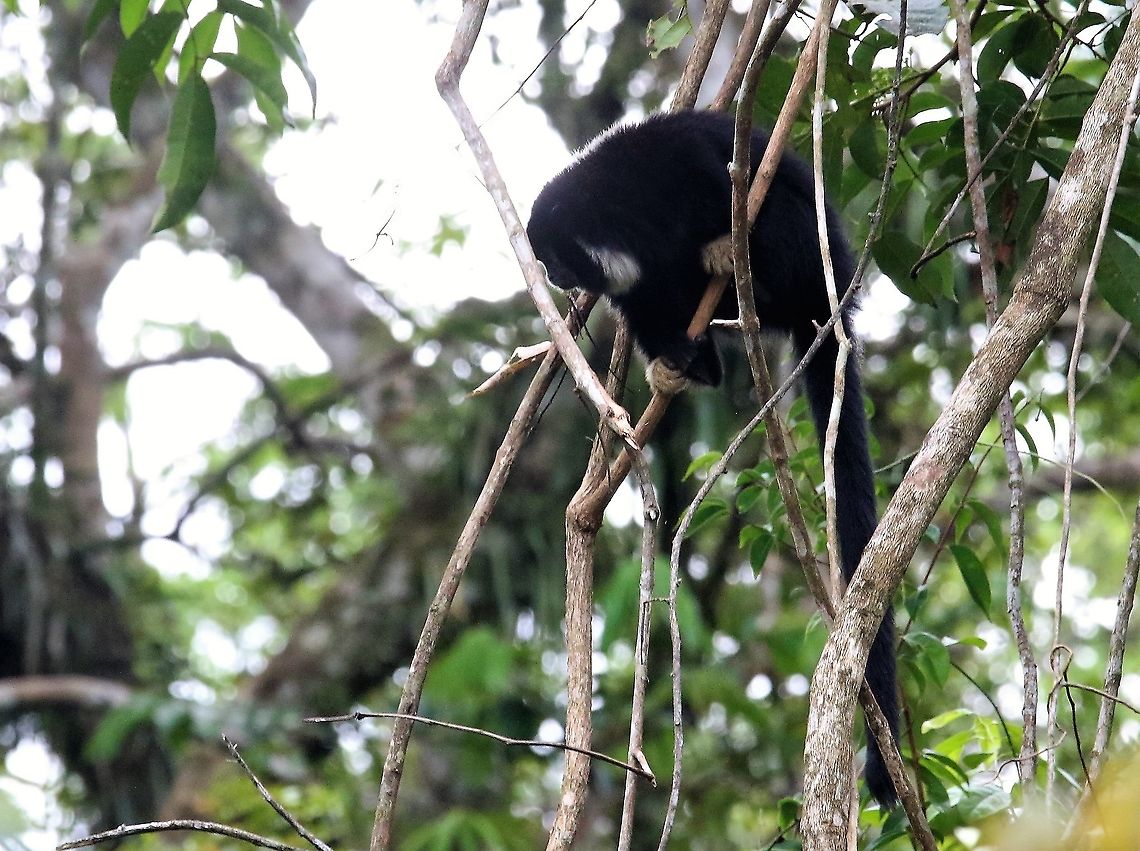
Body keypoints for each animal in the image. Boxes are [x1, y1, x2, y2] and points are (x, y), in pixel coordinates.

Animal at [526, 109, 899, 807]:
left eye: (560, 259)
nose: (558, 280)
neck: (621, 209)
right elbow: (639, 298)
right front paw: (675, 353)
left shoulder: (681, 166)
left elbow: (736, 169)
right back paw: (690, 361)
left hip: (807, 263)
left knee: (778, 217)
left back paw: (737, 258)